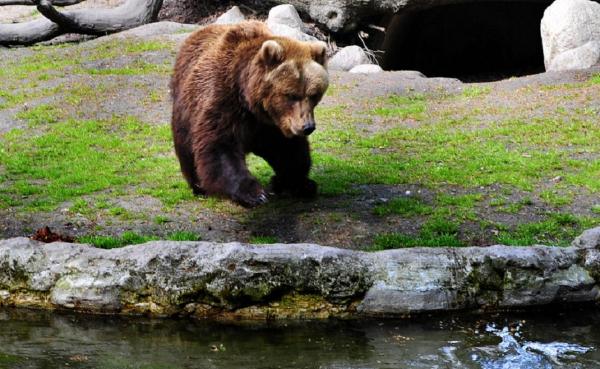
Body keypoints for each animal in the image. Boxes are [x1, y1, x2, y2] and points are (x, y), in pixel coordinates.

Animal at [169, 20, 328, 207]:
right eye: (291, 95)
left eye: (313, 94)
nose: (307, 127)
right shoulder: (224, 100)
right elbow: (220, 146)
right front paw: (254, 193)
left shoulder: (272, 125)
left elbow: (287, 150)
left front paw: (298, 183)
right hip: (185, 108)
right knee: (186, 146)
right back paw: (198, 185)